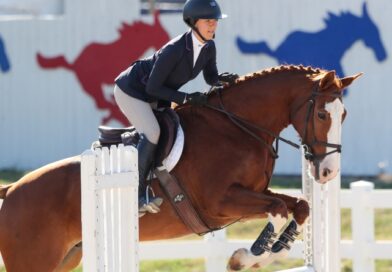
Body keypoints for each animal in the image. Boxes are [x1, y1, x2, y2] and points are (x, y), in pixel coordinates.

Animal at [0, 65, 362, 270]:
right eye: (322, 114)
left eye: (344, 115)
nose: (328, 172)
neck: (238, 127)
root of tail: (12, 189)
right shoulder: (221, 203)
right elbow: (277, 208)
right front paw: (248, 255)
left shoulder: (252, 194)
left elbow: (298, 206)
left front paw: (264, 252)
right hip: (34, 260)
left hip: (67, 258)